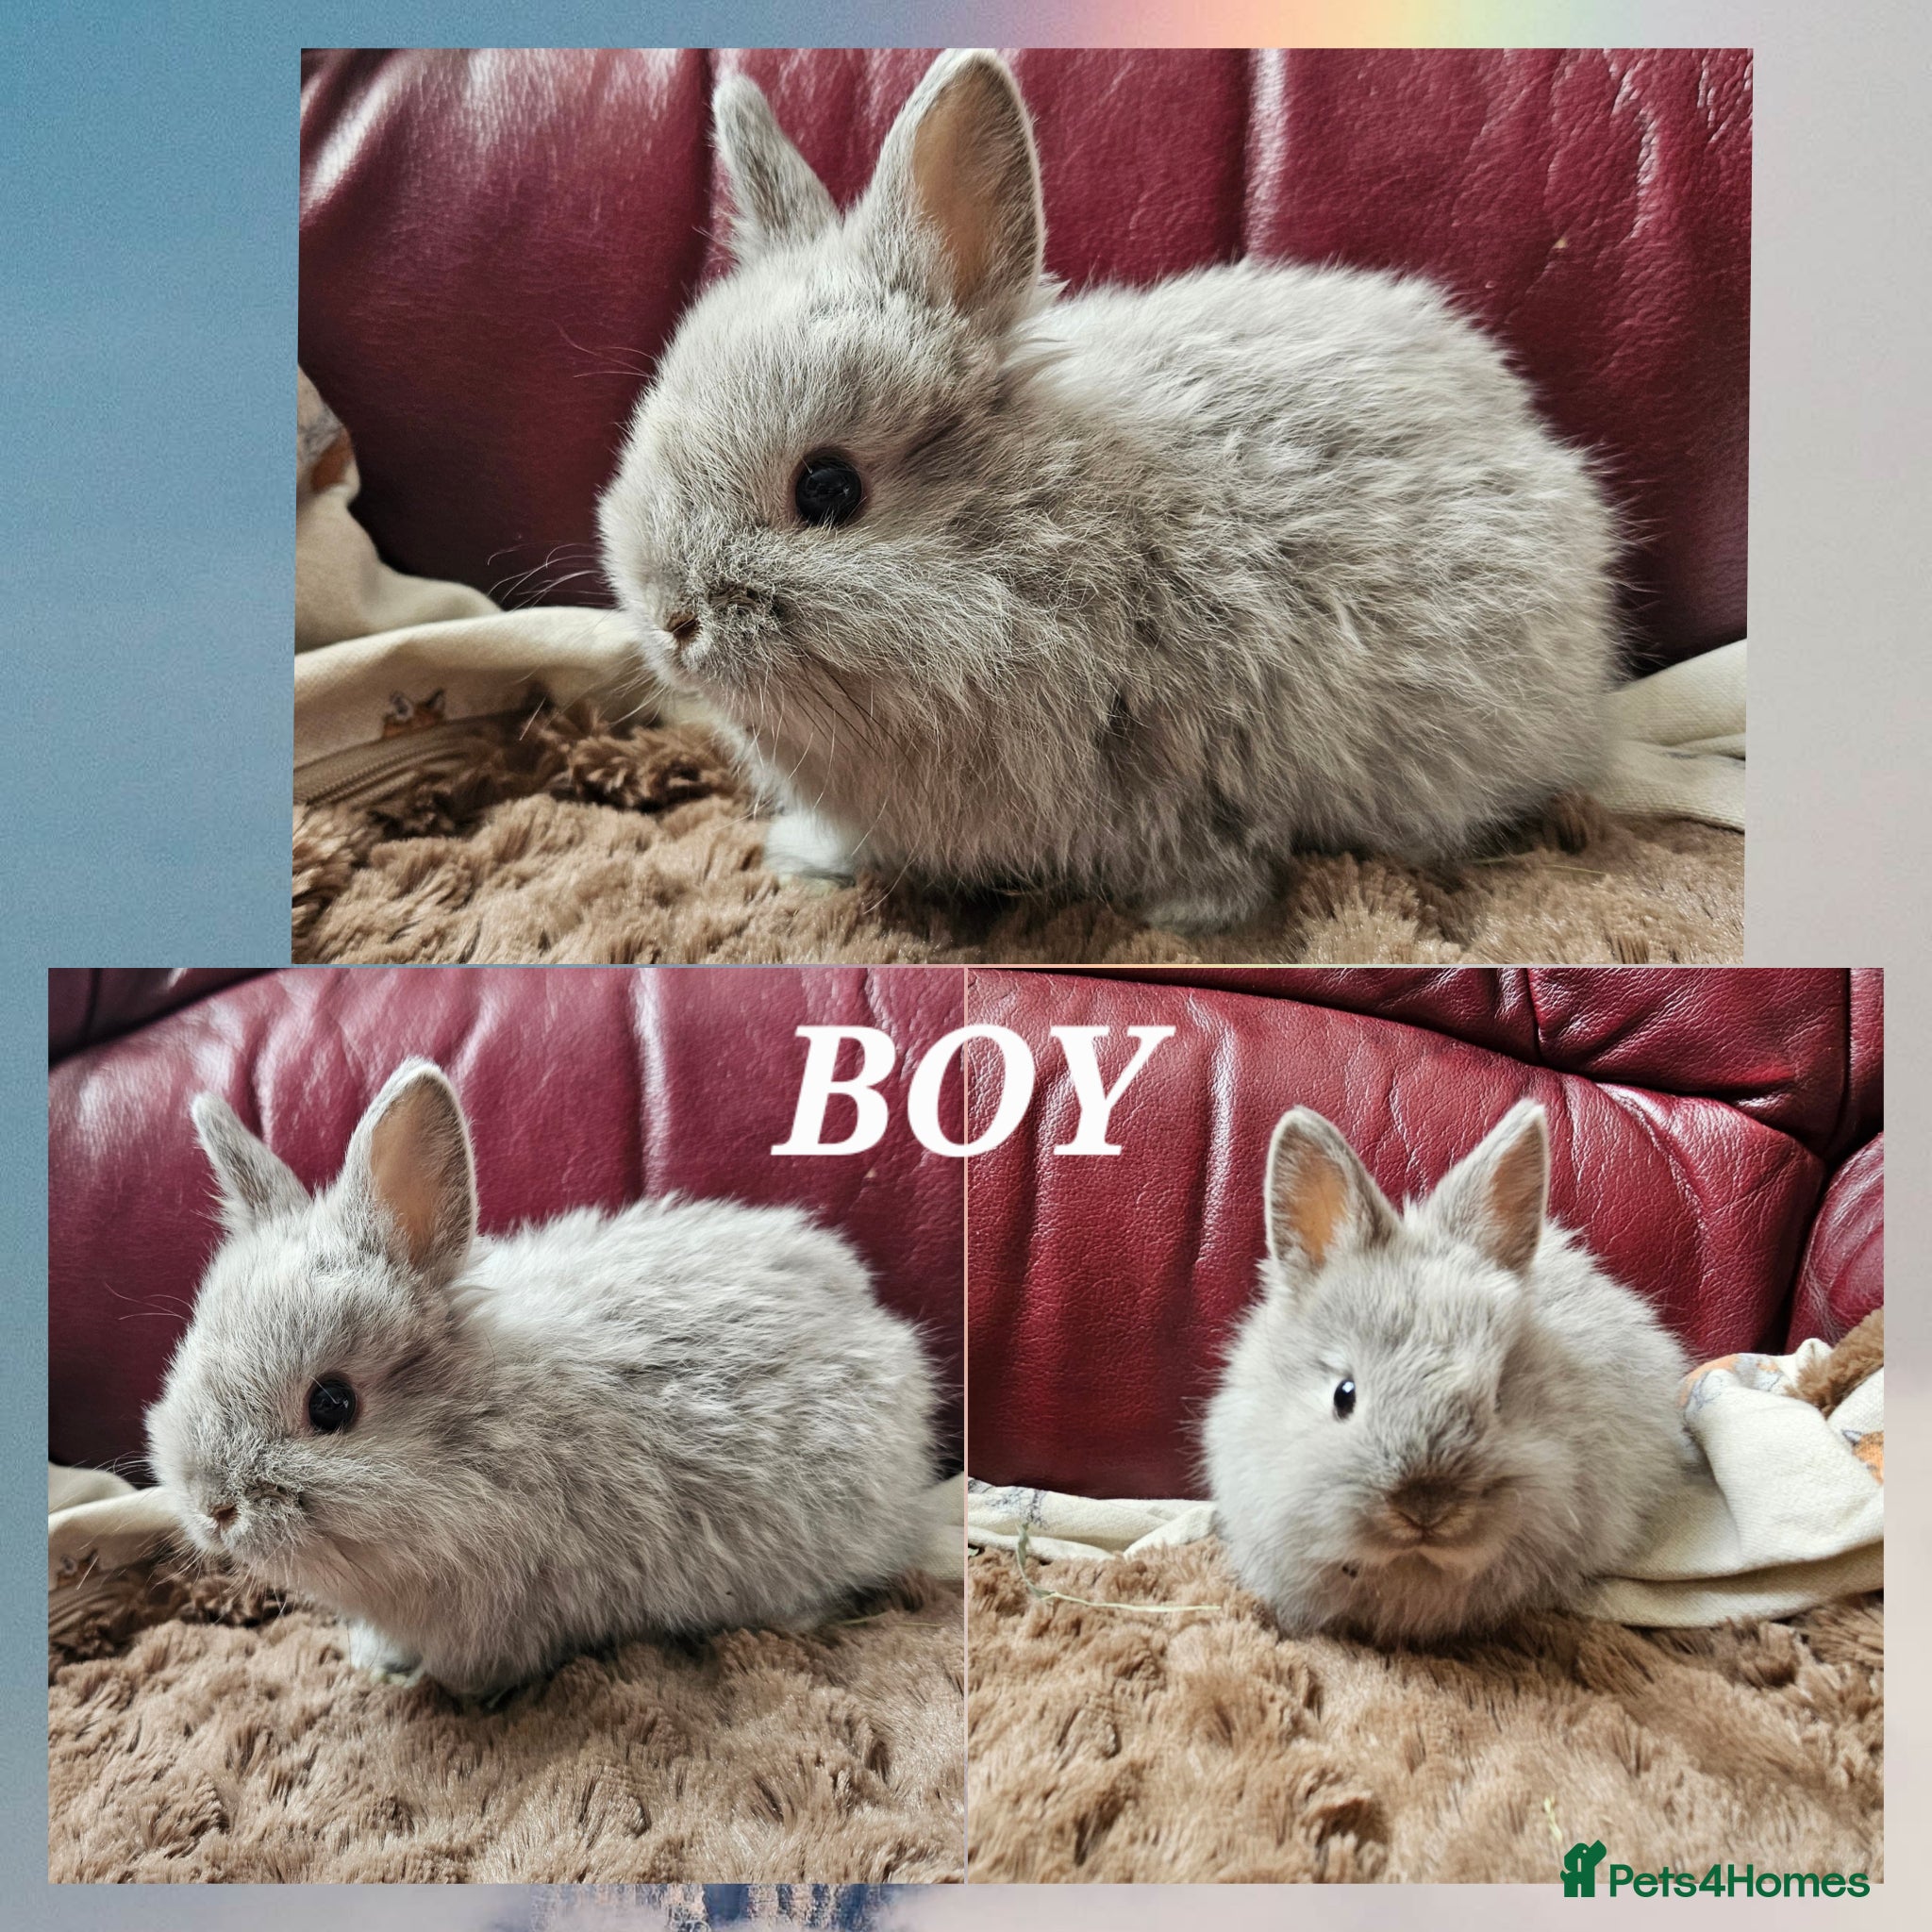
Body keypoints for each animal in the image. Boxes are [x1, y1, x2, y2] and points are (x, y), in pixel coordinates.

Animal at [596, 49, 1619, 932]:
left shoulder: (1201, 770)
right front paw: (807, 857)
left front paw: (1190, 914)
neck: (1043, 556)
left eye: (827, 487)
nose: (673, 623)